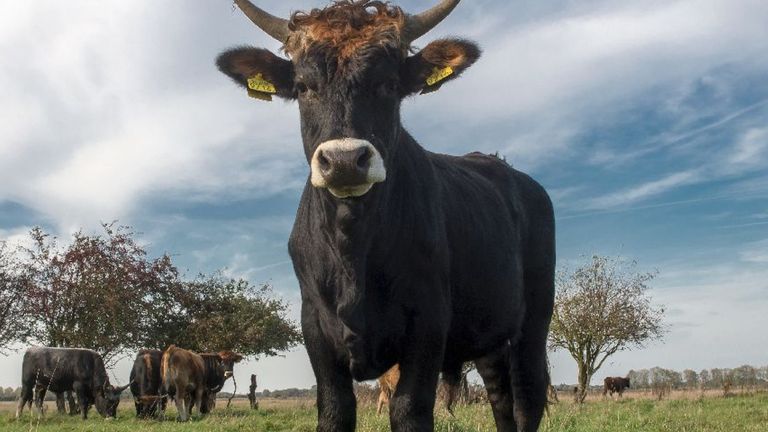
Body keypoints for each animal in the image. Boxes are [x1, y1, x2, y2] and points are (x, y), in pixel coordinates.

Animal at [216, 0, 552, 432]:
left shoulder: (428, 320)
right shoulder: (314, 325)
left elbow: (409, 410)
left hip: (534, 321)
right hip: (490, 333)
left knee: (528, 395)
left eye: (390, 84)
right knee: (501, 399)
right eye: (304, 86)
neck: (353, 247)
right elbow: (334, 409)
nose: (344, 160)